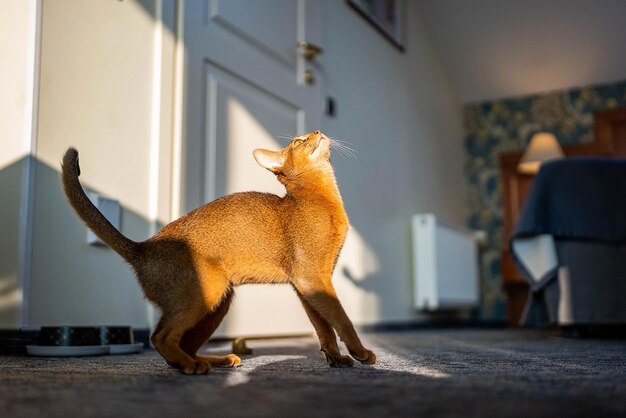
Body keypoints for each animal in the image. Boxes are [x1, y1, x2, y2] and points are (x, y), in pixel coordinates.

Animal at [61, 131, 376, 376]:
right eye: (299, 141)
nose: (318, 131)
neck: (319, 198)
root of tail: (143, 247)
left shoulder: (307, 284)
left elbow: (323, 326)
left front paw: (336, 358)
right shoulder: (311, 277)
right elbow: (341, 318)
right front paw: (360, 351)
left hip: (219, 301)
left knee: (180, 344)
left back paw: (213, 360)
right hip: (207, 291)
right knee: (159, 337)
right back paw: (193, 366)